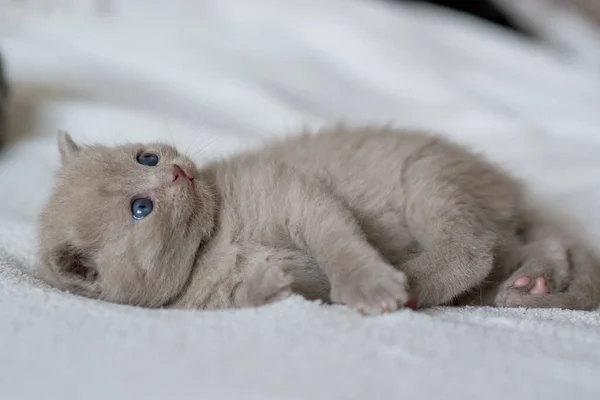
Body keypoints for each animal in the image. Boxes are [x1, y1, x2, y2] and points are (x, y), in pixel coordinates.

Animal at [38, 126, 600, 314]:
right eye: (141, 208)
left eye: (146, 158)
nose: (178, 172)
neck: (212, 246)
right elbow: (256, 295)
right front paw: (275, 283)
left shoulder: (293, 191)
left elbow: (338, 241)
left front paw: (369, 286)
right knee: (524, 248)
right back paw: (532, 281)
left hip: (426, 178)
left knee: (473, 248)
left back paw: (413, 282)